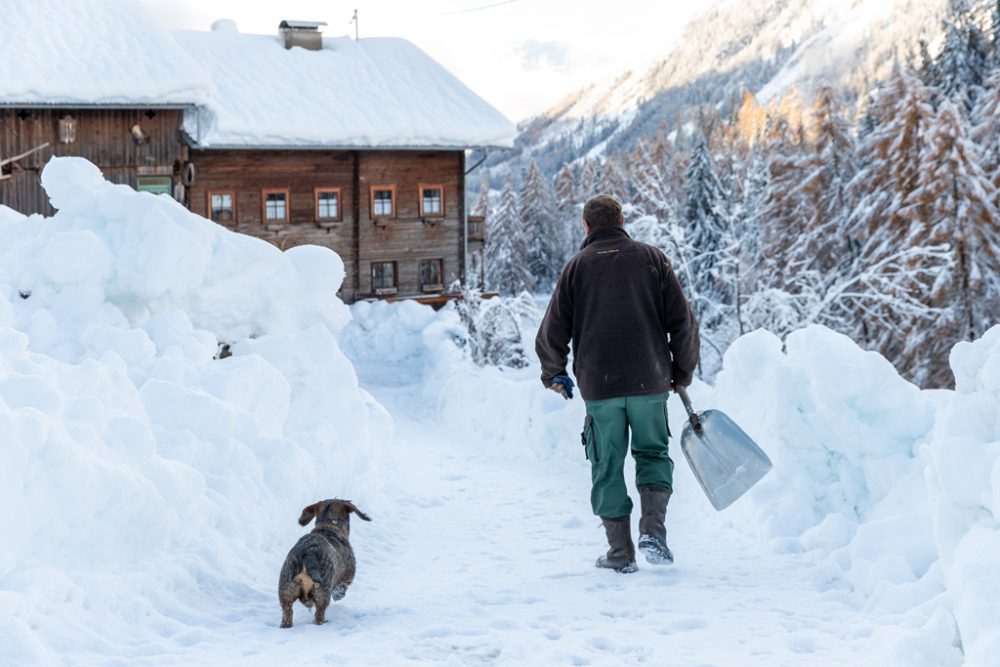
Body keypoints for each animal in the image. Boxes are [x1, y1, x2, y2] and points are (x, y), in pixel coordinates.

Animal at [278, 498, 372, 628]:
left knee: (287, 613)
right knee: (319, 615)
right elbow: (342, 587)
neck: (329, 526)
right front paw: (338, 595)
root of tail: (309, 552)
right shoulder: (347, 577)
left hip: (286, 592)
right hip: (322, 595)